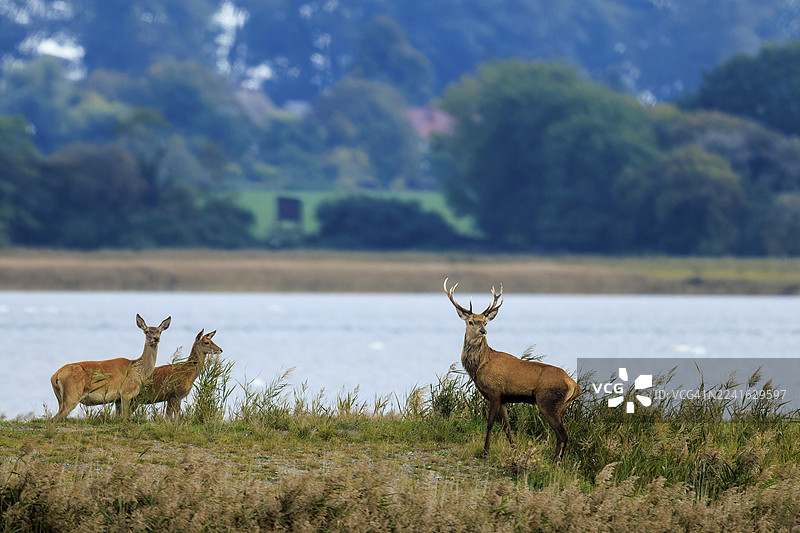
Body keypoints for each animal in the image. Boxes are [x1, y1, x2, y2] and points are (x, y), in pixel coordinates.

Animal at [443, 278, 579, 462]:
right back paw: (558, 462)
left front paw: (485, 452)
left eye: (485, 322)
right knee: (564, 434)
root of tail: (574, 386)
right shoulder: (503, 398)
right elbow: (507, 427)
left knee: (562, 434)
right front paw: (515, 451)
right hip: (563, 407)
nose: (483, 331)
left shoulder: (494, 391)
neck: (480, 367)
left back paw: (555, 462)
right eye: (471, 321)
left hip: (548, 402)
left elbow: (490, 423)